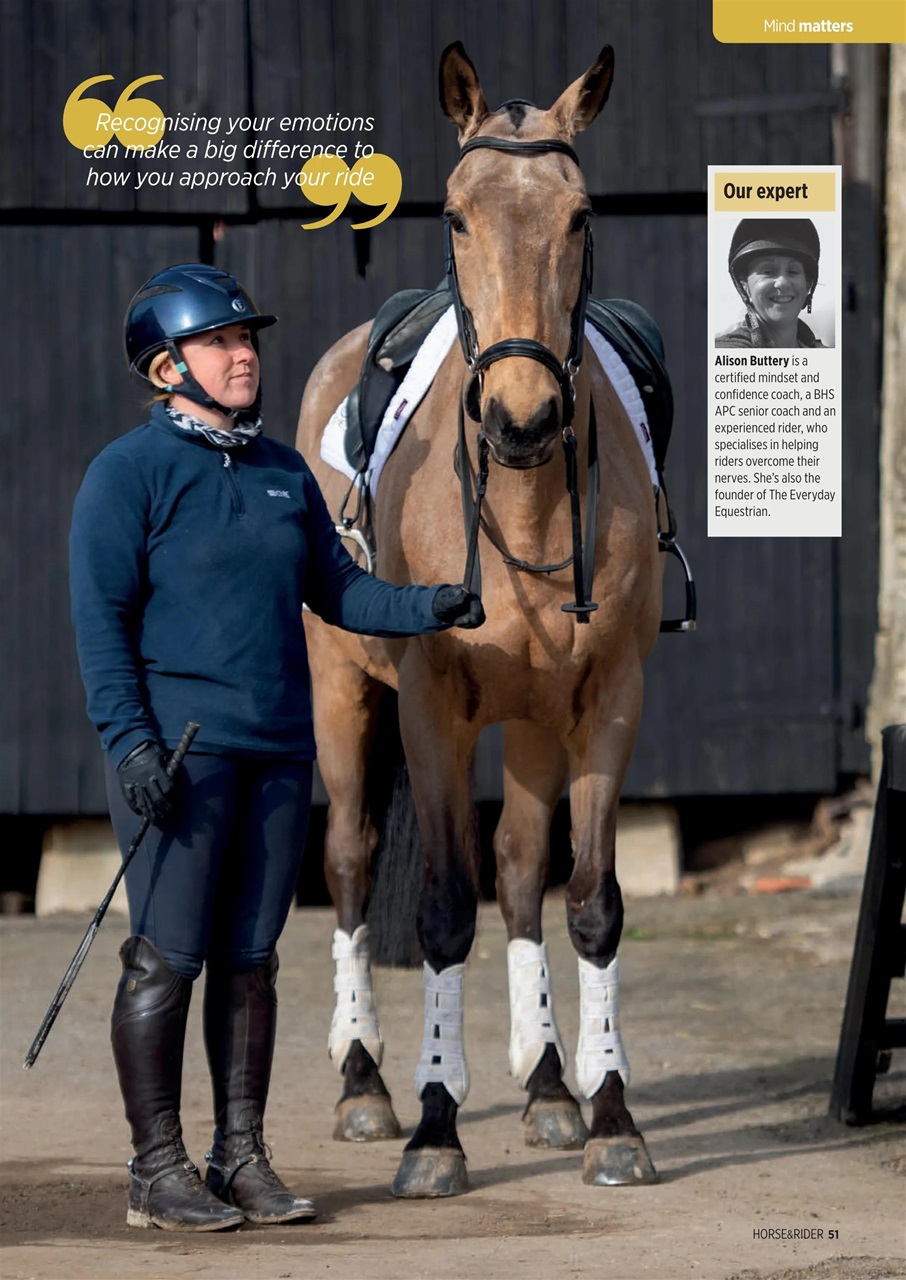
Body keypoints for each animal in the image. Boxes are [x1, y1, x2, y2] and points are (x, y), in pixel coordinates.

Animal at [296, 40, 665, 1195]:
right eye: (456, 214)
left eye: (580, 215)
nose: (523, 418)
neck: (525, 497)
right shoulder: (431, 709)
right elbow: (441, 908)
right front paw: (433, 1128)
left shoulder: (606, 701)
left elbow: (587, 900)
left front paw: (610, 1115)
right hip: (341, 695)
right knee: (351, 861)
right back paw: (363, 1082)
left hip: (538, 720)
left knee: (517, 869)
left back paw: (548, 1087)